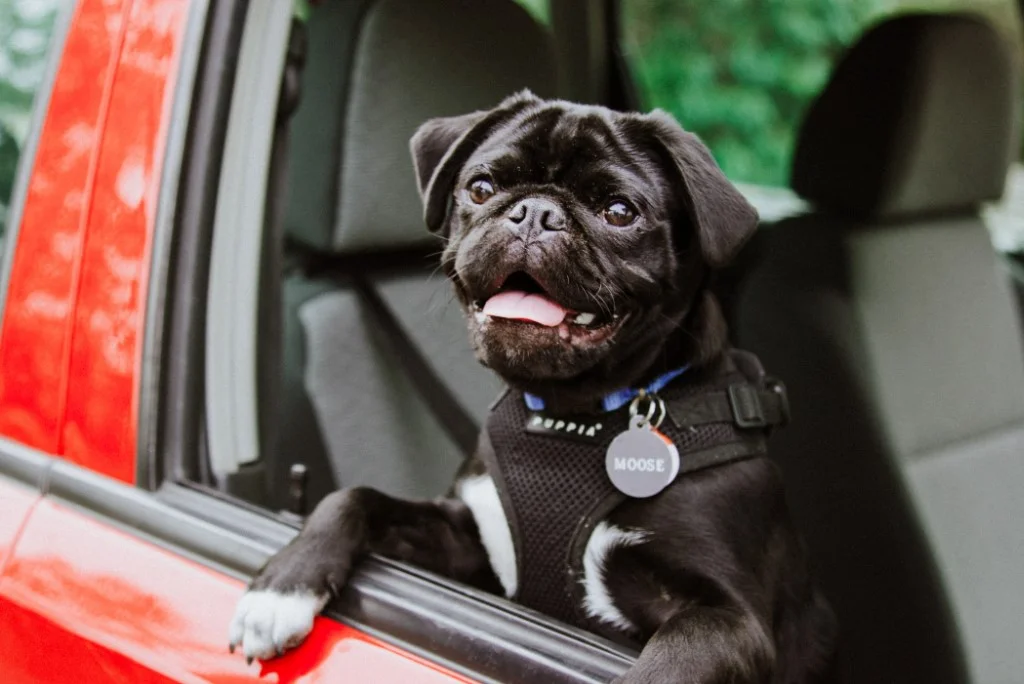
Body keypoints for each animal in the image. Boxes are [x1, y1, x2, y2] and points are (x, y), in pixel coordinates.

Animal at [228, 92, 835, 684]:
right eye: (481, 188)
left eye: (620, 211)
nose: (536, 212)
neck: (573, 413)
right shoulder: (468, 543)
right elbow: (353, 497)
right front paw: (283, 585)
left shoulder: (727, 618)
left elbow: (668, 661)